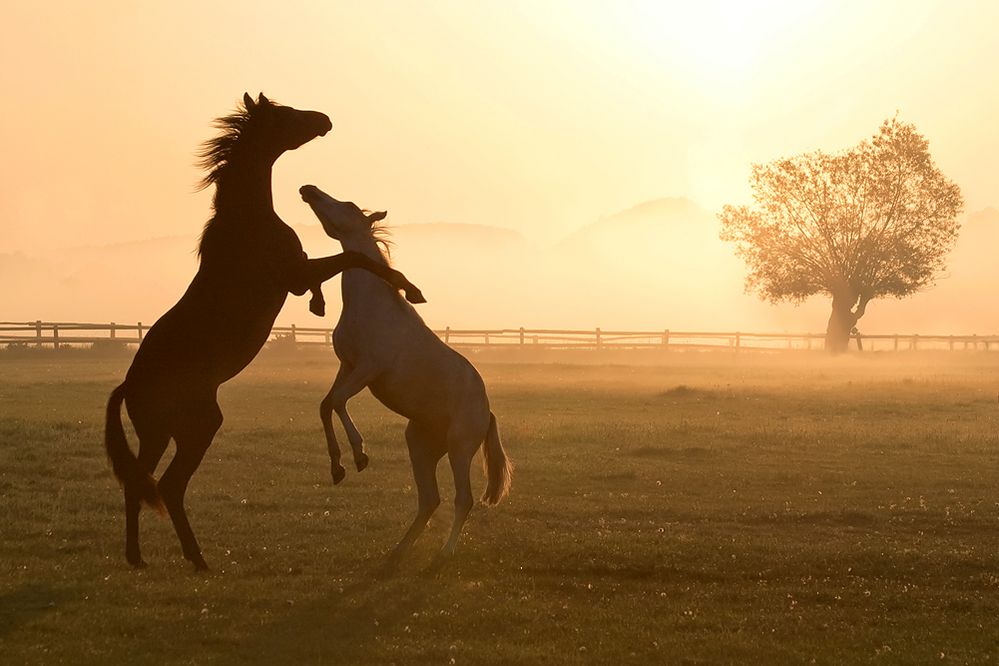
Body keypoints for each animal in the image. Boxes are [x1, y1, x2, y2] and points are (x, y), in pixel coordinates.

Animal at [103, 92, 424, 572]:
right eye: (284, 115)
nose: (325, 119)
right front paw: (410, 288)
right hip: (197, 427)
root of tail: (129, 385)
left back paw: (138, 558)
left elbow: (328, 274)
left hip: (157, 434)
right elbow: (353, 260)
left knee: (139, 485)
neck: (248, 220)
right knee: (170, 486)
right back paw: (197, 559)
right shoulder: (293, 273)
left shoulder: (298, 275)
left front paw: (319, 305)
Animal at [300, 183, 512, 564]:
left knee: (463, 499)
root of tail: (487, 412)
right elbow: (327, 405)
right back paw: (397, 552)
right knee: (429, 499)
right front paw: (339, 467)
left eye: (349, 206)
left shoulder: (367, 370)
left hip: (459, 448)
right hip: (421, 446)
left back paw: (443, 554)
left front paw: (359, 455)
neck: (371, 304)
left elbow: (337, 403)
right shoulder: (347, 366)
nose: (308, 189)